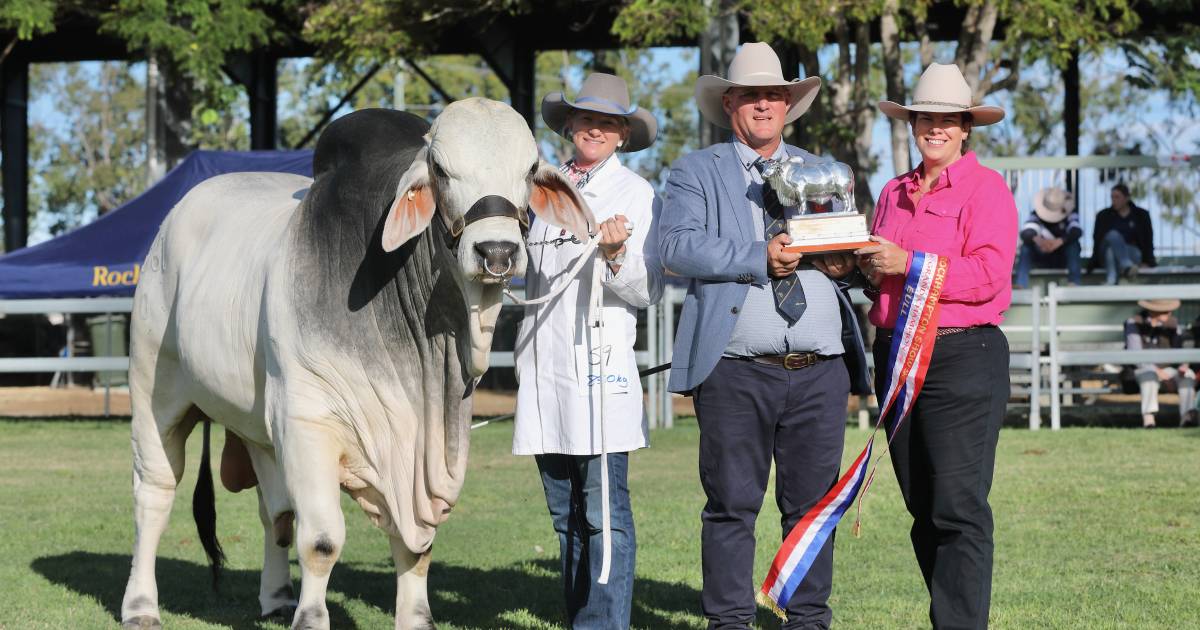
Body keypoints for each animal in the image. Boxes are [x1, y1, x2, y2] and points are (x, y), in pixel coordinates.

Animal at [118, 100, 595, 624]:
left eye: (529, 169)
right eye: (440, 169)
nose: (497, 252)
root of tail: (171, 220)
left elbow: (416, 547)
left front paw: (416, 618)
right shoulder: (307, 421)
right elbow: (322, 540)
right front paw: (311, 619)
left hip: (259, 425)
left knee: (274, 511)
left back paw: (276, 597)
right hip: (156, 391)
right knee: (154, 495)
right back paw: (140, 605)